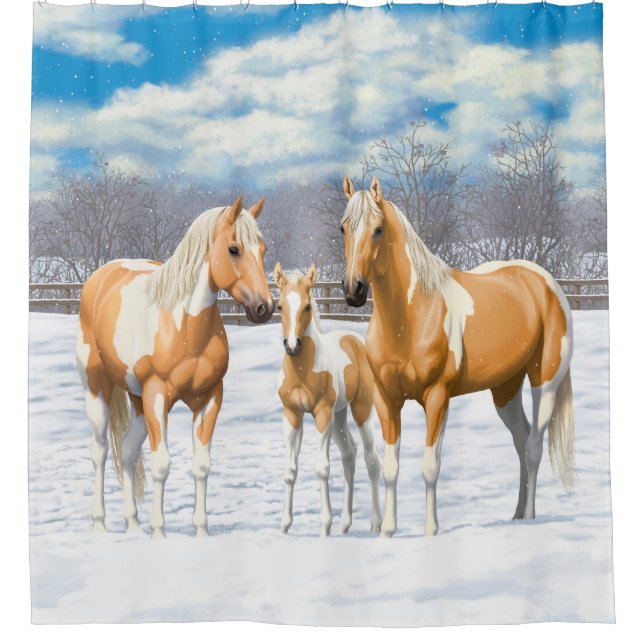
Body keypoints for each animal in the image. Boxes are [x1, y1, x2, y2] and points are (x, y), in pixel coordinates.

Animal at [76, 196, 273, 538]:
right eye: (234, 249)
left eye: (261, 250)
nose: (265, 308)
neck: (184, 327)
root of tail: (101, 276)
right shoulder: (157, 397)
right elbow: (162, 465)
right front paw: (159, 533)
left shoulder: (209, 398)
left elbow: (202, 465)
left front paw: (201, 532)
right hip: (97, 388)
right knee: (100, 451)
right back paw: (100, 525)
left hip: (137, 400)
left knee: (127, 450)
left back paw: (132, 525)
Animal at [273, 263, 383, 536]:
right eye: (279, 306)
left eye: (307, 306)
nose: (292, 345)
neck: (302, 371)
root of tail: (355, 340)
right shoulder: (292, 414)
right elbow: (290, 469)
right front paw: (285, 526)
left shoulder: (322, 413)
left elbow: (322, 467)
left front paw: (325, 526)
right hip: (339, 416)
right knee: (349, 454)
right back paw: (345, 525)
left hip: (360, 410)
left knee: (371, 459)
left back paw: (376, 524)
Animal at [339, 176, 575, 538]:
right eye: (343, 228)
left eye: (378, 229)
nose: (353, 290)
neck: (411, 317)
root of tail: (545, 282)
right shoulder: (386, 399)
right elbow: (391, 465)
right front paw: (388, 532)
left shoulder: (437, 397)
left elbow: (430, 465)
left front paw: (430, 531)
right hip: (505, 390)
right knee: (521, 442)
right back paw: (517, 514)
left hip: (545, 384)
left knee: (534, 447)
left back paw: (530, 517)